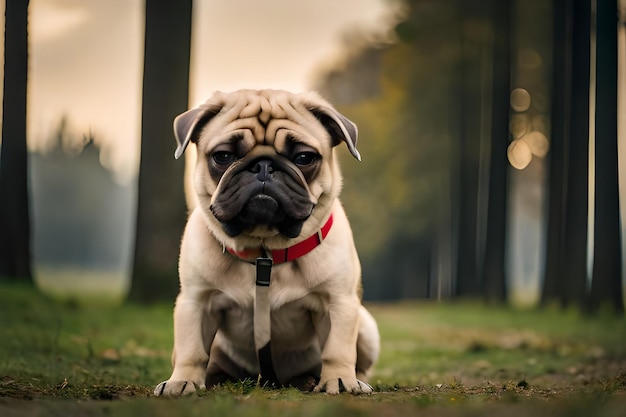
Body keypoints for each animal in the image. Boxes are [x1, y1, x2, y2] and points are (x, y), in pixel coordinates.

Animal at [155, 89, 380, 394]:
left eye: (305, 157)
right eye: (223, 156)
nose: (263, 165)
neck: (265, 253)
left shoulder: (338, 303)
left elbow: (338, 349)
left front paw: (341, 380)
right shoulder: (196, 302)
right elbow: (192, 350)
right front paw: (183, 381)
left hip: (366, 327)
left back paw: (324, 379)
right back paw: (217, 379)